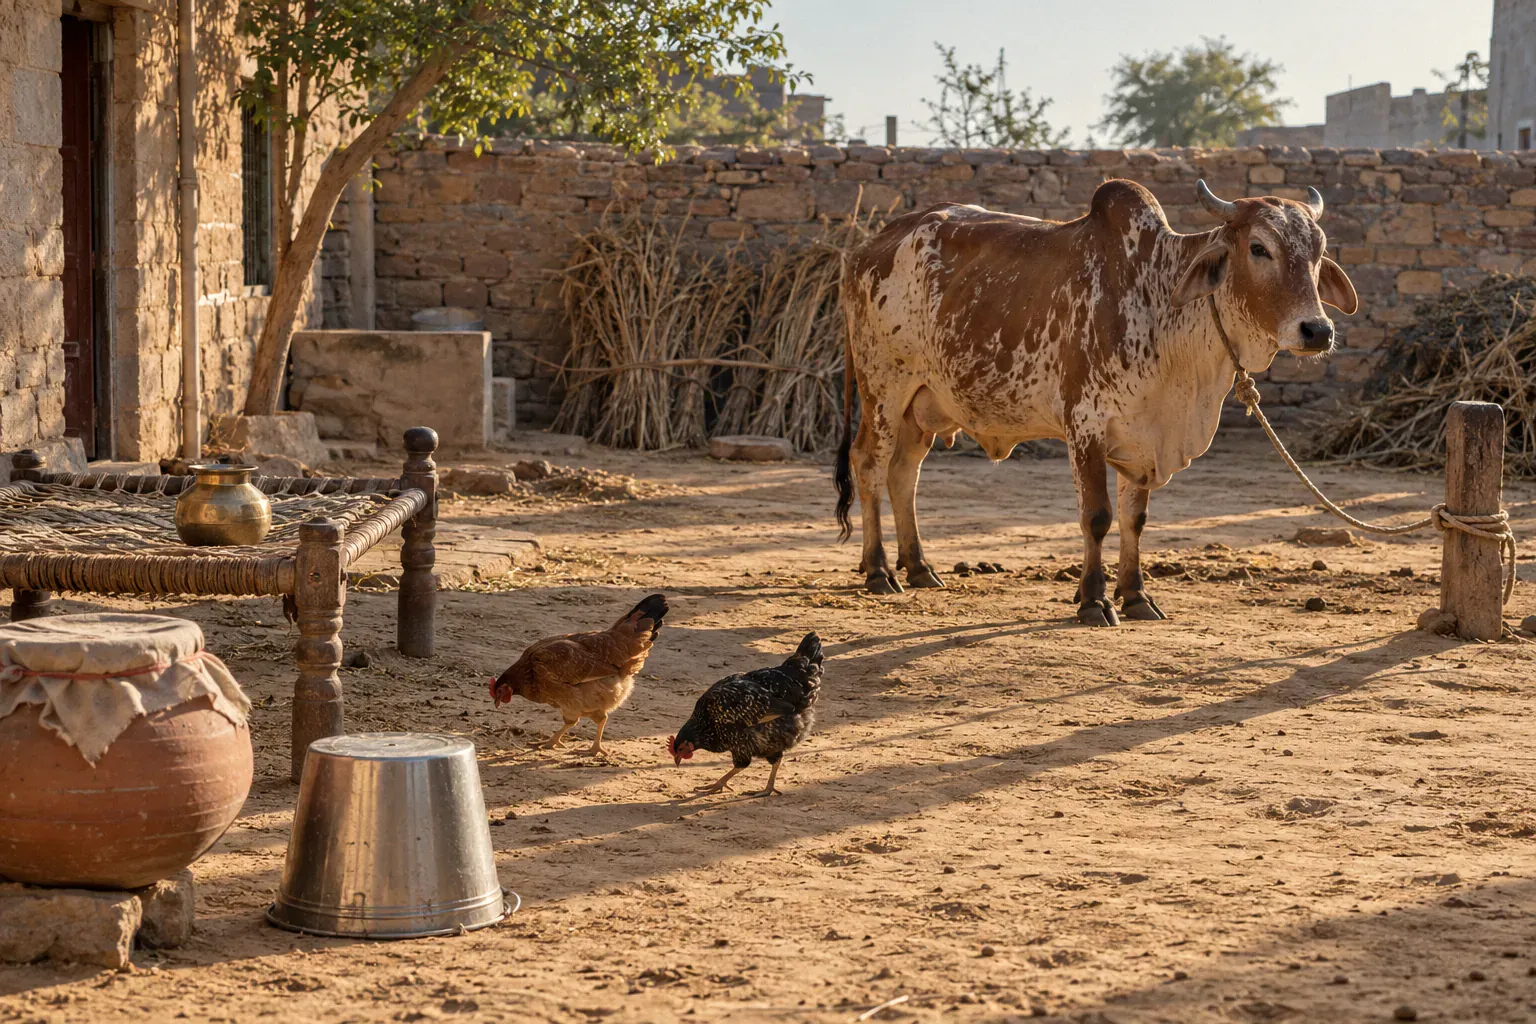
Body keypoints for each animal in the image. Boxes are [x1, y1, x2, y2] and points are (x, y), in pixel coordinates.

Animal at [833, 179, 1358, 626]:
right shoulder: (1085, 427)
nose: (1317, 330)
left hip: (922, 406)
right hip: (884, 391)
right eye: (1259, 248)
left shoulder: (1144, 437)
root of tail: (864, 248)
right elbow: (1098, 517)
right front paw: (1093, 600)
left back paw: (919, 566)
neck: (1159, 302)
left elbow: (1135, 519)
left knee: (904, 473)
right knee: (869, 464)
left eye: (1318, 253)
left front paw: (1136, 595)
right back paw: (879, 570)